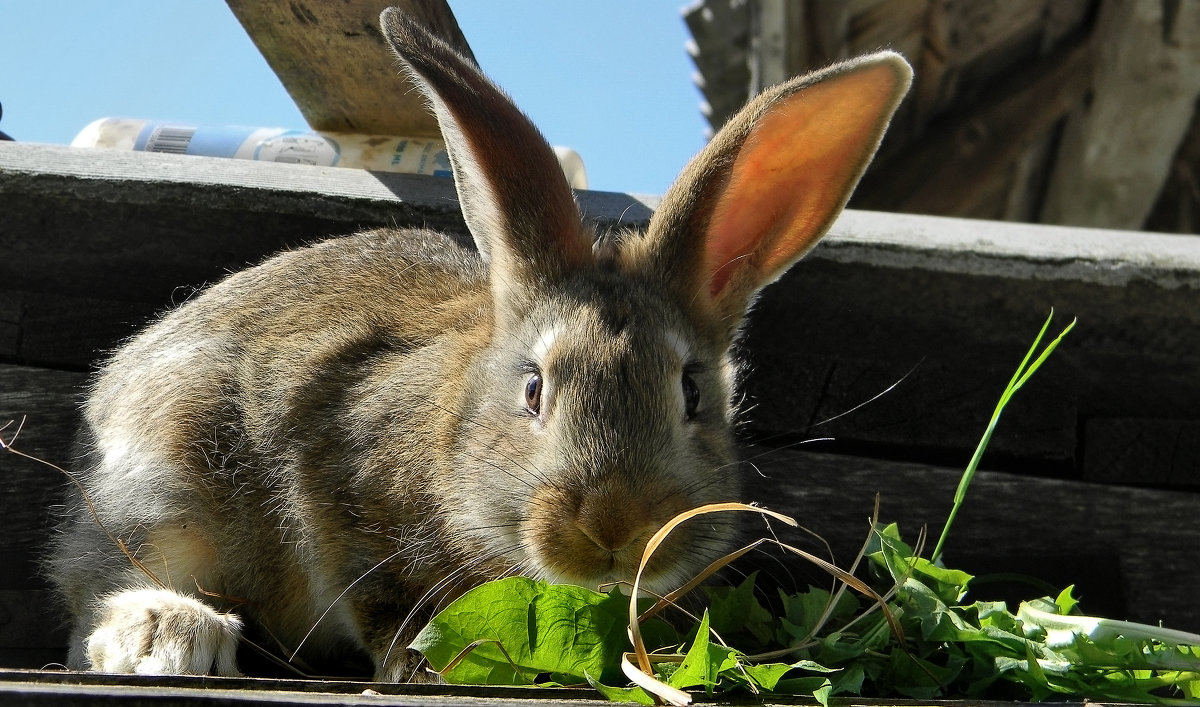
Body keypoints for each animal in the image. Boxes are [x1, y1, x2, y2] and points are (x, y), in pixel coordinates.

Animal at [49, 4, 907, 676]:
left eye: (693, 391)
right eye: (533, 389)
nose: (613, 528)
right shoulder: (339, 490)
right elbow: (380, 597)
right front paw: (420, 664)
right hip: (169, 475)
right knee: (97, 585)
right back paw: (169, 634)